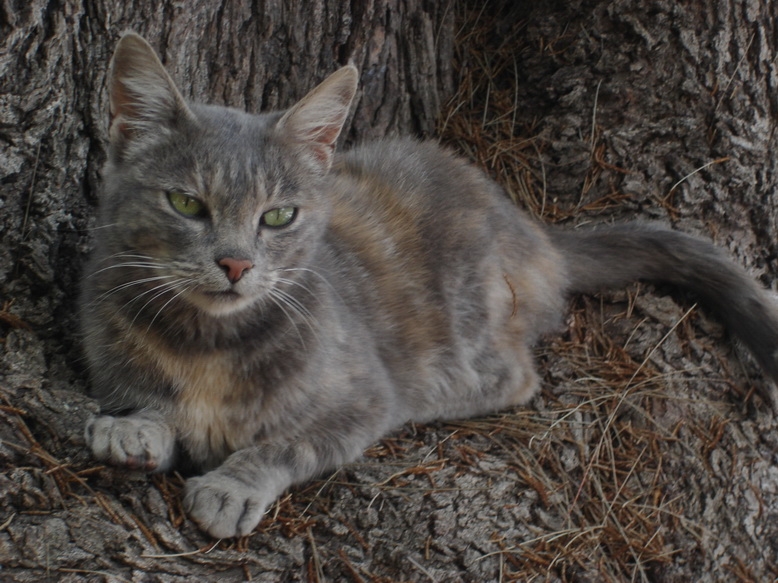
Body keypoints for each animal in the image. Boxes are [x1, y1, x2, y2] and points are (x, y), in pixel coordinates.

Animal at [80, 32, 778, 540]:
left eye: (278, 216)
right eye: (186, 204)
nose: (235, 264)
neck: (212, 344)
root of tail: (530, 228)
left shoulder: (362, 398)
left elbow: (287, 443)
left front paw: (231, 484)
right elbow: (144, 397)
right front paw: (136, 426)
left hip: (470, 314)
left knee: (514, 377)